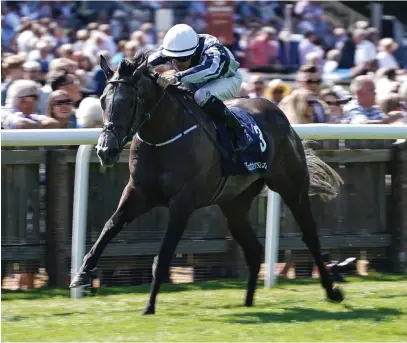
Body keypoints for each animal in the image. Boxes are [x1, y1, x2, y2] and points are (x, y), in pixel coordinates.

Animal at [70, 49, 344, 316]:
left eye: (128, 102)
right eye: (103, 101)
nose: (106, 151)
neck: (162, 136)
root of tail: (281, 115)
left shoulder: (182, 203)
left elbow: (163, 255)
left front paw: (149, 306)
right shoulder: (138, 192)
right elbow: (110, 226)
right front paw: (82, 274)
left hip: (292, 189)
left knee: (310, 237)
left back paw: (332, 291)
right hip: (234, 204)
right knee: (254, 250)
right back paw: (248, 302)